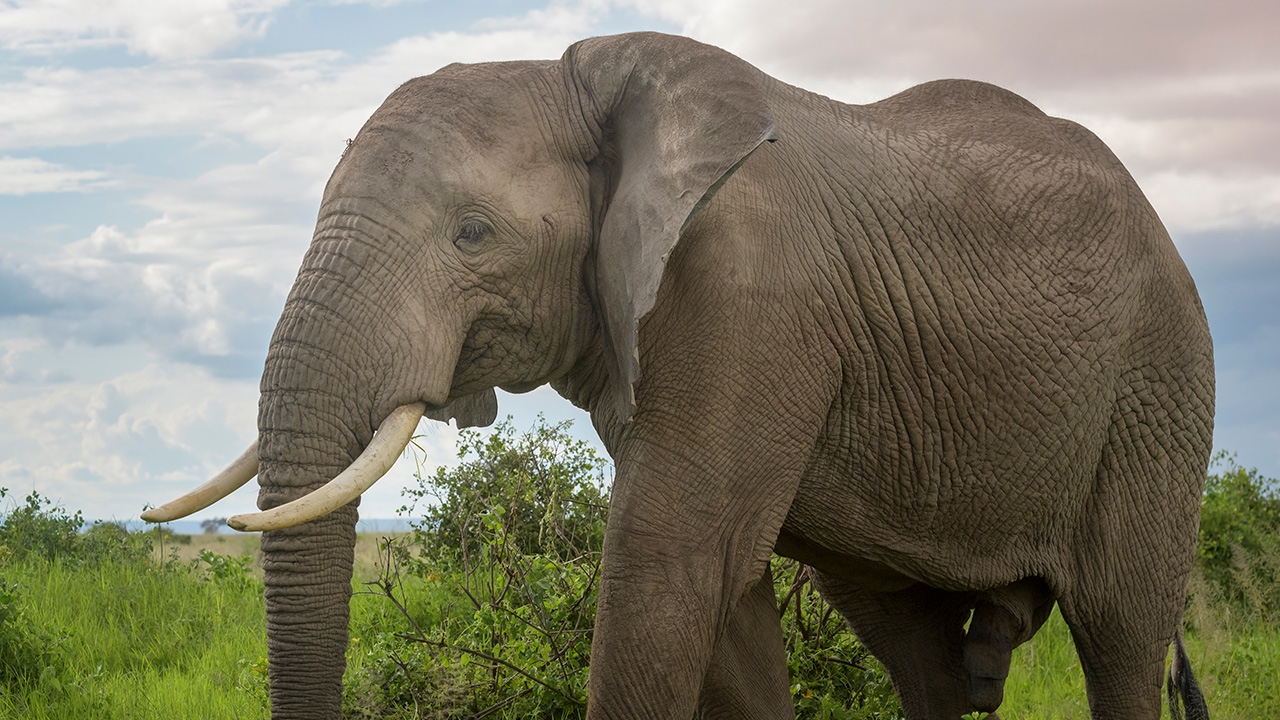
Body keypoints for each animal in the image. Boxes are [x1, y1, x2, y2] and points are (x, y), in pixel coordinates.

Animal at [145, 32, 1213, 717]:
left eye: (473, 234)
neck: (584, 82)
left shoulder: (749, 298)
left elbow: (670, 568)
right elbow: (723, 605)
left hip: (1157, 384)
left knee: (1121, 634)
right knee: (911, 646)